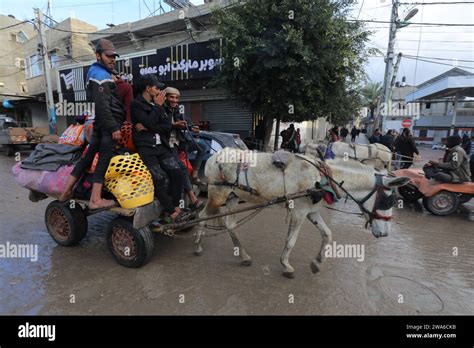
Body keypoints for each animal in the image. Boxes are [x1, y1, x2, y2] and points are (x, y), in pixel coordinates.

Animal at [194, 148, 410, 278]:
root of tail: (215, 156)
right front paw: (286, 265)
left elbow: (327, 234)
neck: (323, 178)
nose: (385, 233)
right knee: (202, 216)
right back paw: (197, 246)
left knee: (230, 224)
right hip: (217, 195)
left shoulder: (311, 211)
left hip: (231, 196)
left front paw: (317, 262)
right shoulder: (299, 211)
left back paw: (244, 256)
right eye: (389, 200)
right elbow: (291, 241)